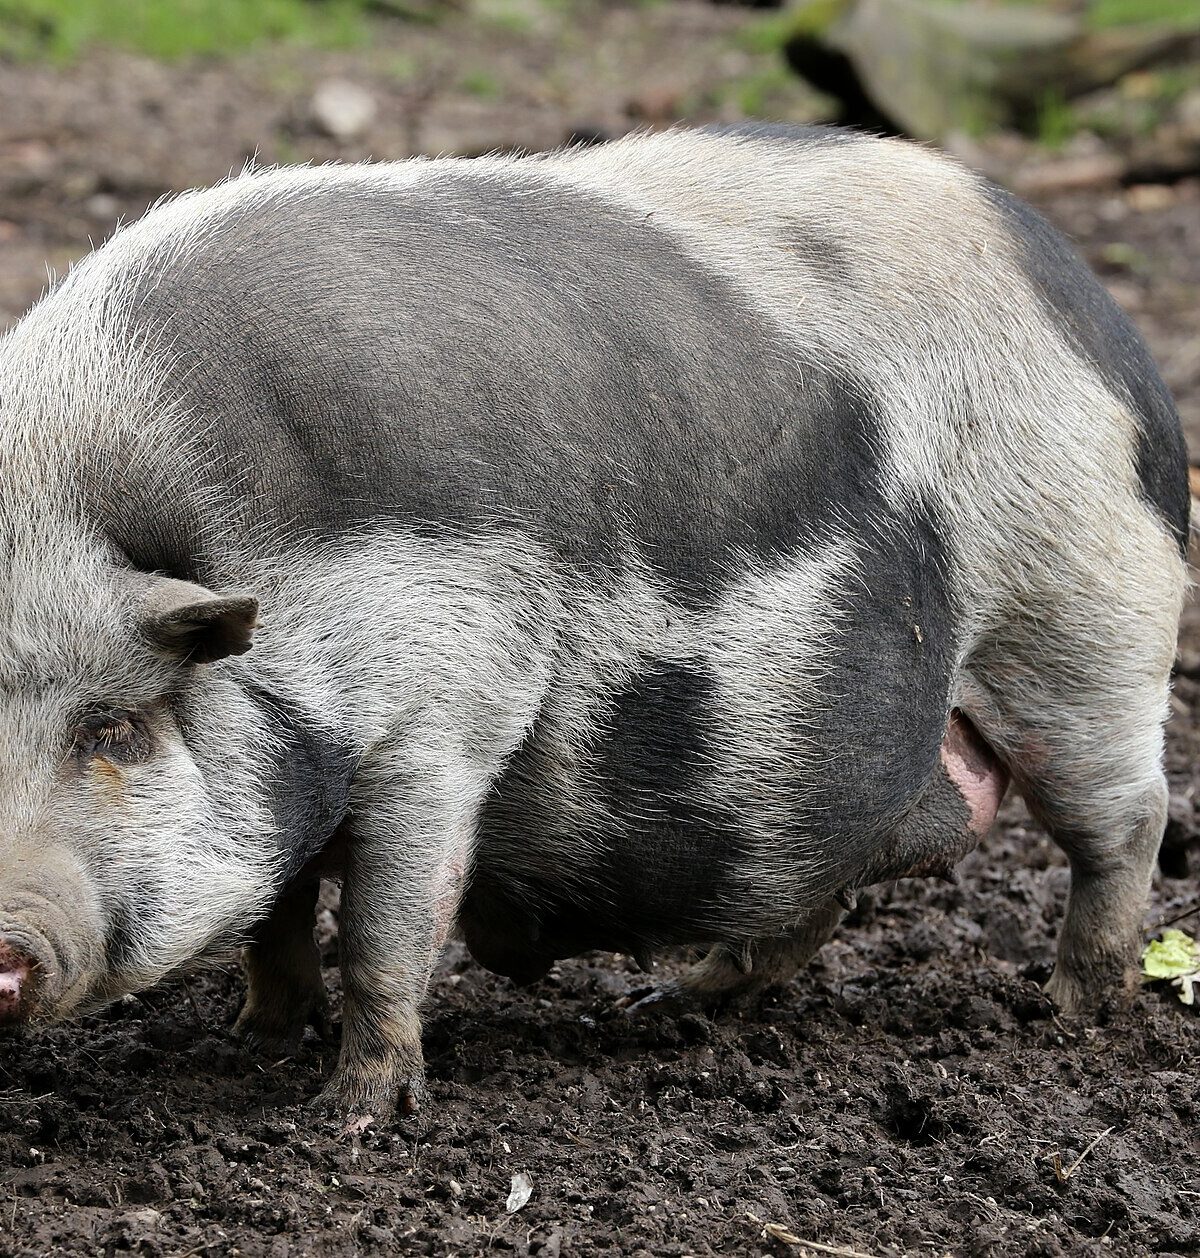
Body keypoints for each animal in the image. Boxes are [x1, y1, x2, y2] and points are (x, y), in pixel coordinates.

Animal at [0, 124, 1188, 1118]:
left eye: (115, 730)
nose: (7, 937)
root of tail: (1107, 330)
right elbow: (280, 913)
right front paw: (253, 1041)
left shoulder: (443, 710)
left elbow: (387, 923)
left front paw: (352, 1115)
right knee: (820, 886)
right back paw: (673, 1003)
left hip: (1078, 616)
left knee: (1127, 820)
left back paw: (1070, 1010)